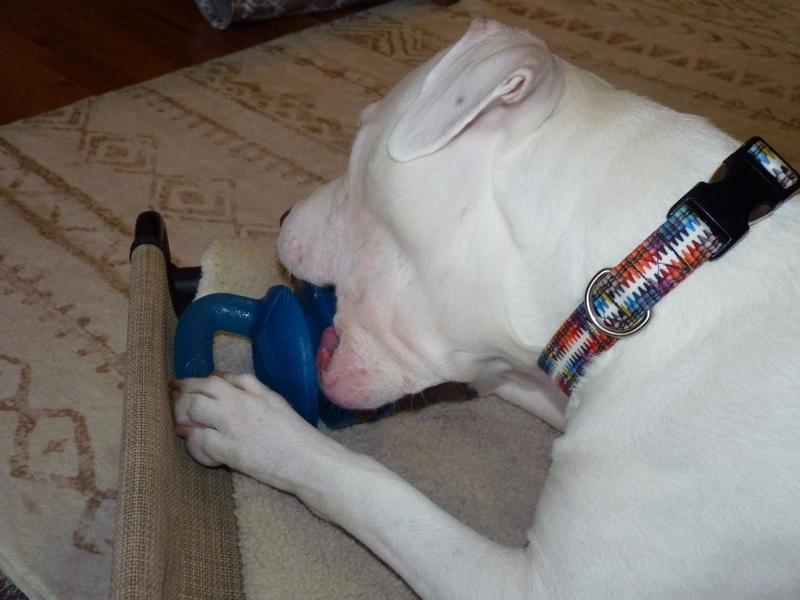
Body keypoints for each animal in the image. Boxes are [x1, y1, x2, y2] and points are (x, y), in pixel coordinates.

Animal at [171, 19, 800, 599]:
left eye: (354, 154)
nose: (280, 217)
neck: (655, 273)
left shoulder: (532, 587)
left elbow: (373, 489)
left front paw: (252, 426)